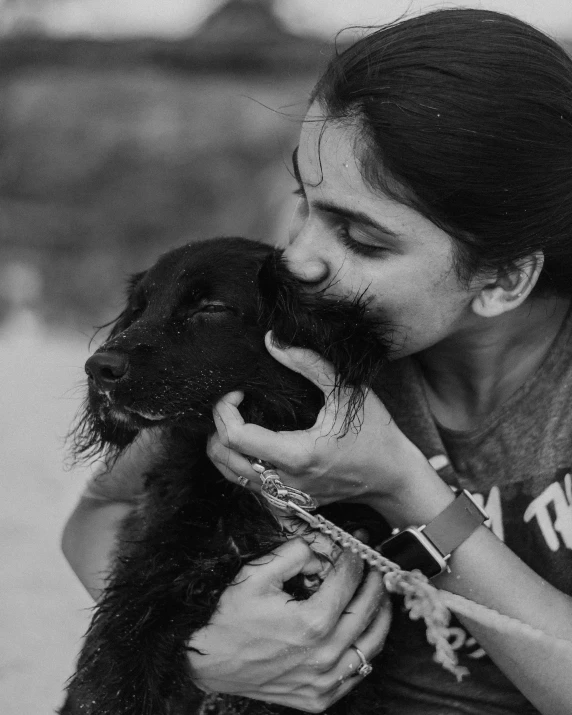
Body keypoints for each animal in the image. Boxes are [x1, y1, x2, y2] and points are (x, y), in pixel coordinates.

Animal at [62, 239, 394, 715]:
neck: (261, 498)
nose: (98, 367)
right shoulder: (142, 596)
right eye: (139, 309)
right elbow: (109, 685)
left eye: (211, 308)